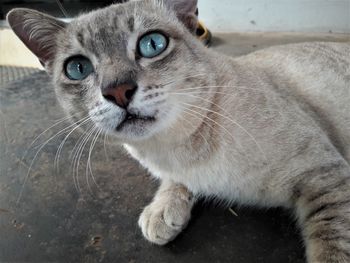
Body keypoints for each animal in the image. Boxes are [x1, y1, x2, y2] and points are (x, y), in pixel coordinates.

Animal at [6, 1, 350, 262]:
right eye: (78, 68)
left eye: (152, 44)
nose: (117, 91)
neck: (172, 148)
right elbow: (175, 183)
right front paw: (162, 211)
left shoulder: (325, 175)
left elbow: (332, 247)